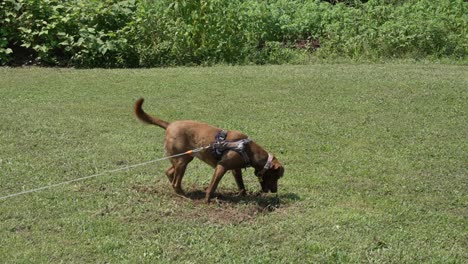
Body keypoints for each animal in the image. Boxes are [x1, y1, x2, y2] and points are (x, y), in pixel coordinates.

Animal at [133, 98, 284, 203]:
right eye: (276, 176)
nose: (275, 191)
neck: (246, 148)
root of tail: (170, 125)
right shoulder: (221, 167)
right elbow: (212, 187)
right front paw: (207, 201)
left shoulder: (235, 170)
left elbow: (241, 185)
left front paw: (244, 195)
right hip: (183, 160)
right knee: (175, 181)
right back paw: (184, 196)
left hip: (183, 158)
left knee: (169, 173)